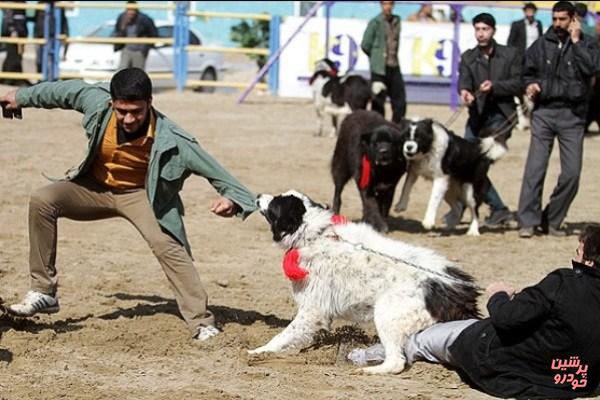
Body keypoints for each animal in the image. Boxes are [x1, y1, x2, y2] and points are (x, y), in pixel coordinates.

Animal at [246, 191, 480, 376]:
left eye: (275, 203)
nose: (257, 195)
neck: (316, 235)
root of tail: (457, 290)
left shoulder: (312, 310)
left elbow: (283, 335)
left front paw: (259, 352)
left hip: (387, 314)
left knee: (396, 362)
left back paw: (370, 369)